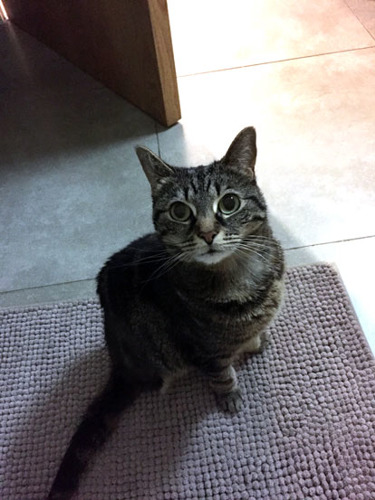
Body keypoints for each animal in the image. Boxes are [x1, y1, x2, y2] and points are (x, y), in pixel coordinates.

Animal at [47, 127, 284, 498]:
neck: (242, 277)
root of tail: (121, 364)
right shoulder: (204, 350)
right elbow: (222, 374)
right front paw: (231, 394)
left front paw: (257, 341)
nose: (207, 233)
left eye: (229, 203)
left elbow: (255, 333)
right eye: (179, 211)